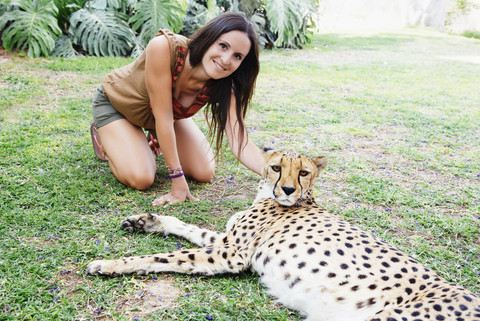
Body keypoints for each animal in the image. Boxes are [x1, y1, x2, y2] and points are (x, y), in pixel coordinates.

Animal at [87, 148, 480, 320]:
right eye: (277, 167)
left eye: (304, 172)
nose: (288, 189)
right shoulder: (228, 242)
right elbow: (185, 226)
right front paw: (144, 221)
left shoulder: (232, 255)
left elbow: (163, 257)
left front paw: (109, 264)